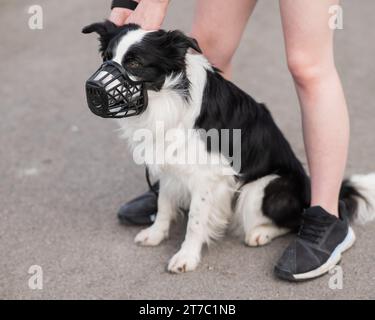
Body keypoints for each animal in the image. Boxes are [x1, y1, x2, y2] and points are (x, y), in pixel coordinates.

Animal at [83, 21, 375, 272]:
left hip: (262, 188)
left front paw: (186, 256)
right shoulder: (170, 162)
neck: (168, 97)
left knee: (294, 220)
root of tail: (309, 190)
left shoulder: (206, 175)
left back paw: (261, 233)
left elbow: (195, 221)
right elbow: (164, 202)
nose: (93, 88)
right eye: (106, 58)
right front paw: (156, 234)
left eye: (134, 63)